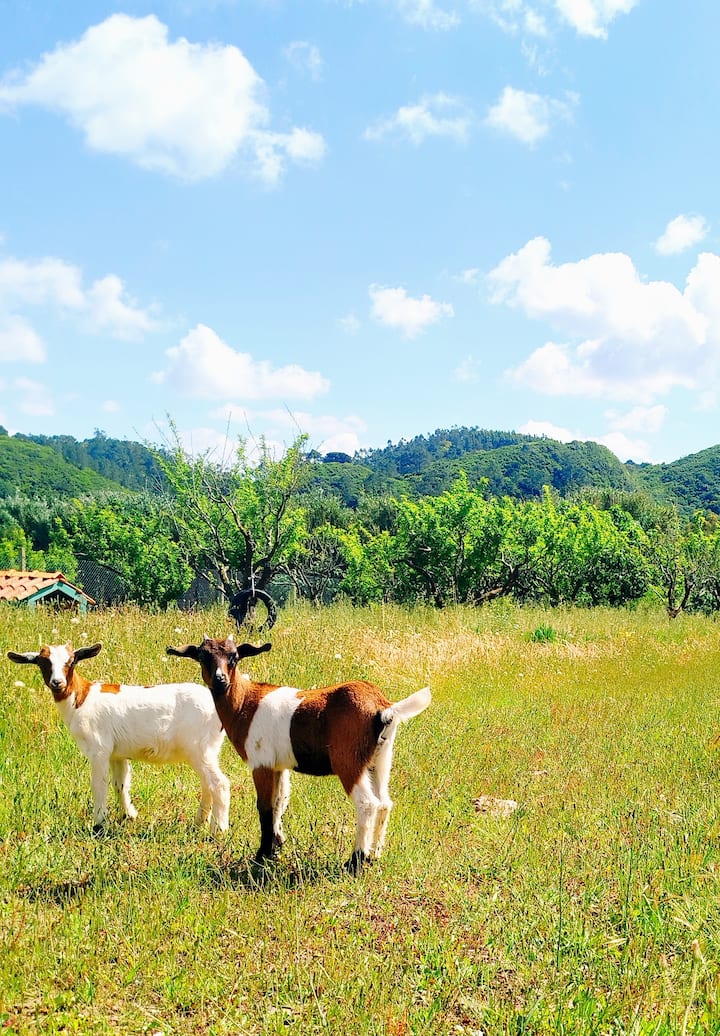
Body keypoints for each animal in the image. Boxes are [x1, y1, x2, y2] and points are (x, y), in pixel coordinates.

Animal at [7, 642, 230, 834]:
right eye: (43, 663)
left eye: (71, 661)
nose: (57, 683)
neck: (81, 698)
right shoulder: (117, 754)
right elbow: (120, 783)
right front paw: (129, 815)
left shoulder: (98, 749)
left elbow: (98, 784)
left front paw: (99, 823)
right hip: (208, 749)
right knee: (207, 783)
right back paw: (199, 822)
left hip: (199, 747)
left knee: (219, 783)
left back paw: (218, 830)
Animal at [166, 636, 431, 873]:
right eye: (203, 656)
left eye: (234, 657)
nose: (220, 681)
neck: (245, 703)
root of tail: (383, 708)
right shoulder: (279, 765)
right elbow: (279, 802)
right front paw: (276, 847)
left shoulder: (261, 762)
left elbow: (264, 806)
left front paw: (261, 856)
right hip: (380, 758)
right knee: (385, 803)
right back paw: (374, 855)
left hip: (349, 759)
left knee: (367, 803)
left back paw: (355, 862)